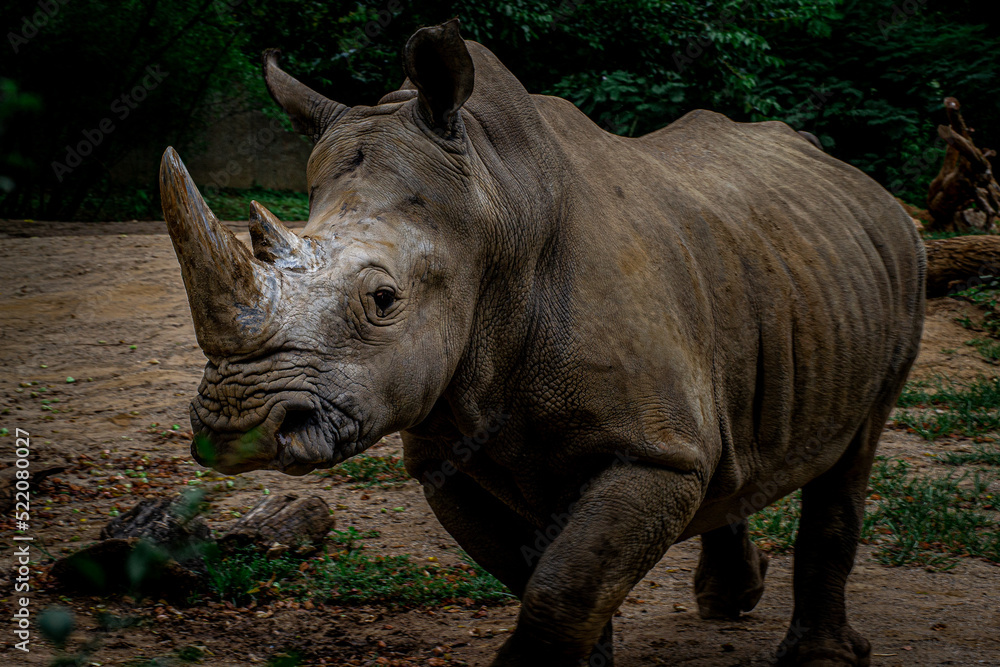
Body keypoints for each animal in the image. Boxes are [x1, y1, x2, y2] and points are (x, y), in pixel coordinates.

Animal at [159, 19, 925, 666]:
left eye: (382, 300)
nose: (238, 425)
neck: (496, 211)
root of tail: (855, 178)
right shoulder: (445, 456)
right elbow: (550, 578)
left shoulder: (651, 454)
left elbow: (564, 586)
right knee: (731, 442)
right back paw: (727, 601)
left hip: (899, 254)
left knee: (854, 449)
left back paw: (819, 656)